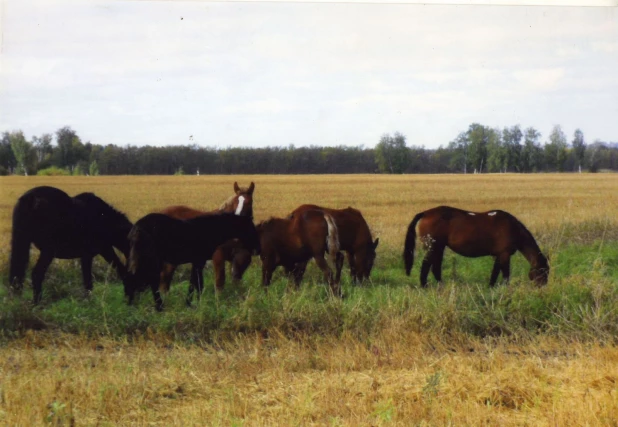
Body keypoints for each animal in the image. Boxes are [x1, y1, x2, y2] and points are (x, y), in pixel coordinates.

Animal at [126, 213, 258, 310]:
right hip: (152, 260)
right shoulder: (199, 261)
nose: (256, 250)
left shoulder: (197, 261)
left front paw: (190, 303)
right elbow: (198, 283)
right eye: (251, 228)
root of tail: (136, 228)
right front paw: (196, 303)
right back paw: (159, 306)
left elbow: (194, 282)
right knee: (151, 281)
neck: (212, 229)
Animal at [400, 206, 548, 288]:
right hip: (433, 247)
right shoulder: (505, 254)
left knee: (435, 268)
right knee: (426, 266)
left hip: (439, 248)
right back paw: (424, 286)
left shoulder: (499, 255)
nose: (542, 288)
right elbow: (505, 274)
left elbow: (495, 272)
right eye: (542, 271)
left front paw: (491, 287)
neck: (513, 228)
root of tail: (425, 213)